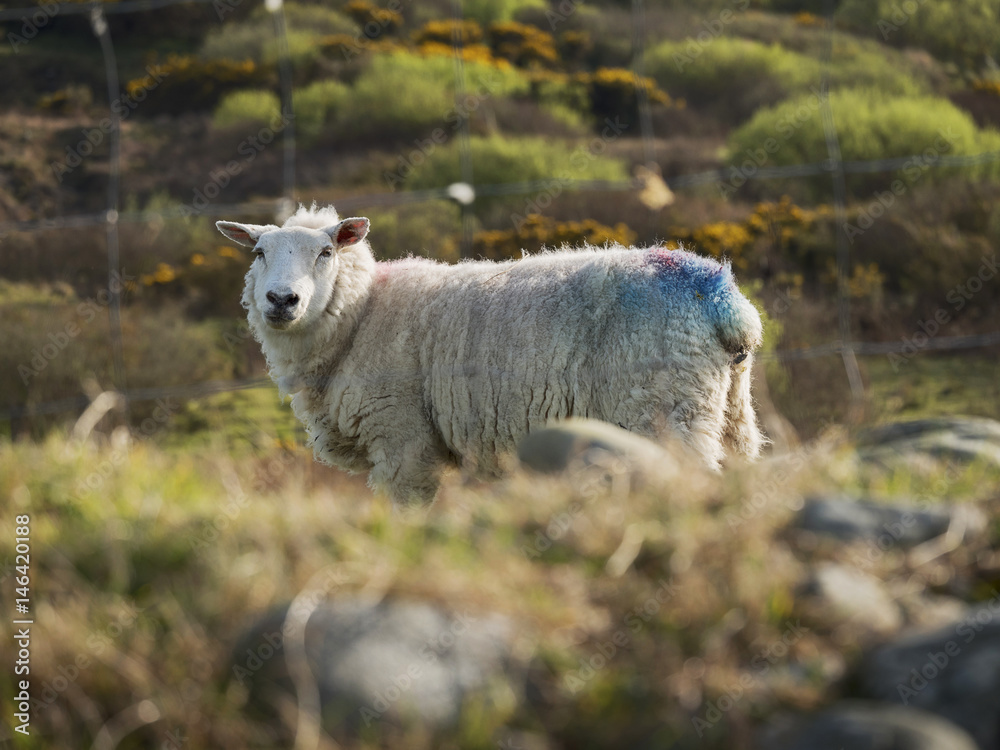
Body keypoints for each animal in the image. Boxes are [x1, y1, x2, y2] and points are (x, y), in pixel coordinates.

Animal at [216, 204, 765, 506]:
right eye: (259, 253)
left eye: (326, 253)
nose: (281, 300)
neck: (362, 312)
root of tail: (718, 292)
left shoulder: (403, 439)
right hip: (728, 412)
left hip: (665, 409)